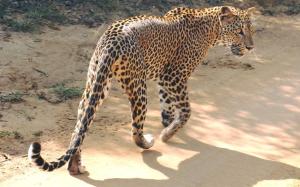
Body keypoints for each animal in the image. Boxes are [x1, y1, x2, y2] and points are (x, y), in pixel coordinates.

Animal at [28, 6, 255, 175]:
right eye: (239, 31)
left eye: (251, 30)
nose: (251, 47)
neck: (212, 29)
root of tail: (111, 39)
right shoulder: (174, 76)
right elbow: (186, 111)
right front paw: (167, 134)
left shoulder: (164, 79)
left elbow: (168, 105)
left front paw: (167, 123)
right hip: (138, 87)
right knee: (135, 130)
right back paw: (148, 141)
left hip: (96, 83)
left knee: (80, 126)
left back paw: (75, 166)